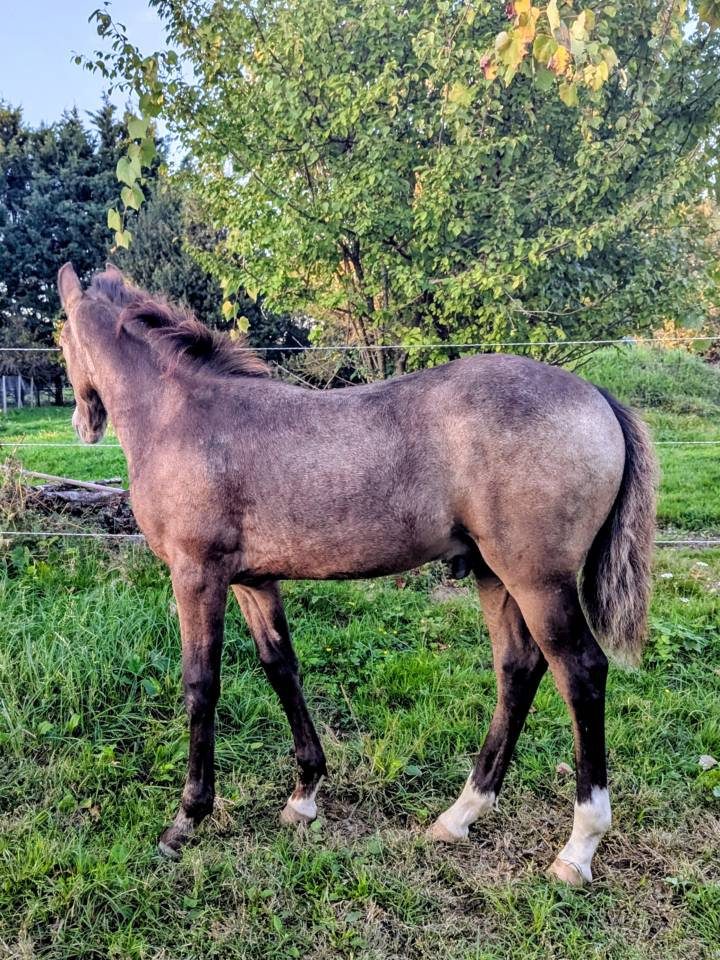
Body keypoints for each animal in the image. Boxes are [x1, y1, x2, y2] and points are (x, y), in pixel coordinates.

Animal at [57, 262, 657, 885]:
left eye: (60, 332)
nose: (82, 420)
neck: (181, 415)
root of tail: (597, 396)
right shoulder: (252, 581)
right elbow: (281, 667)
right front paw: (303, 795)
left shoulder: (196, 574)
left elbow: (201, 684)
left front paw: (186, 818)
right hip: (495, 575)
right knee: (518, 668)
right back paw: (460, 815)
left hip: (539, 580)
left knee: (580, 672)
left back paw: (578, 847)